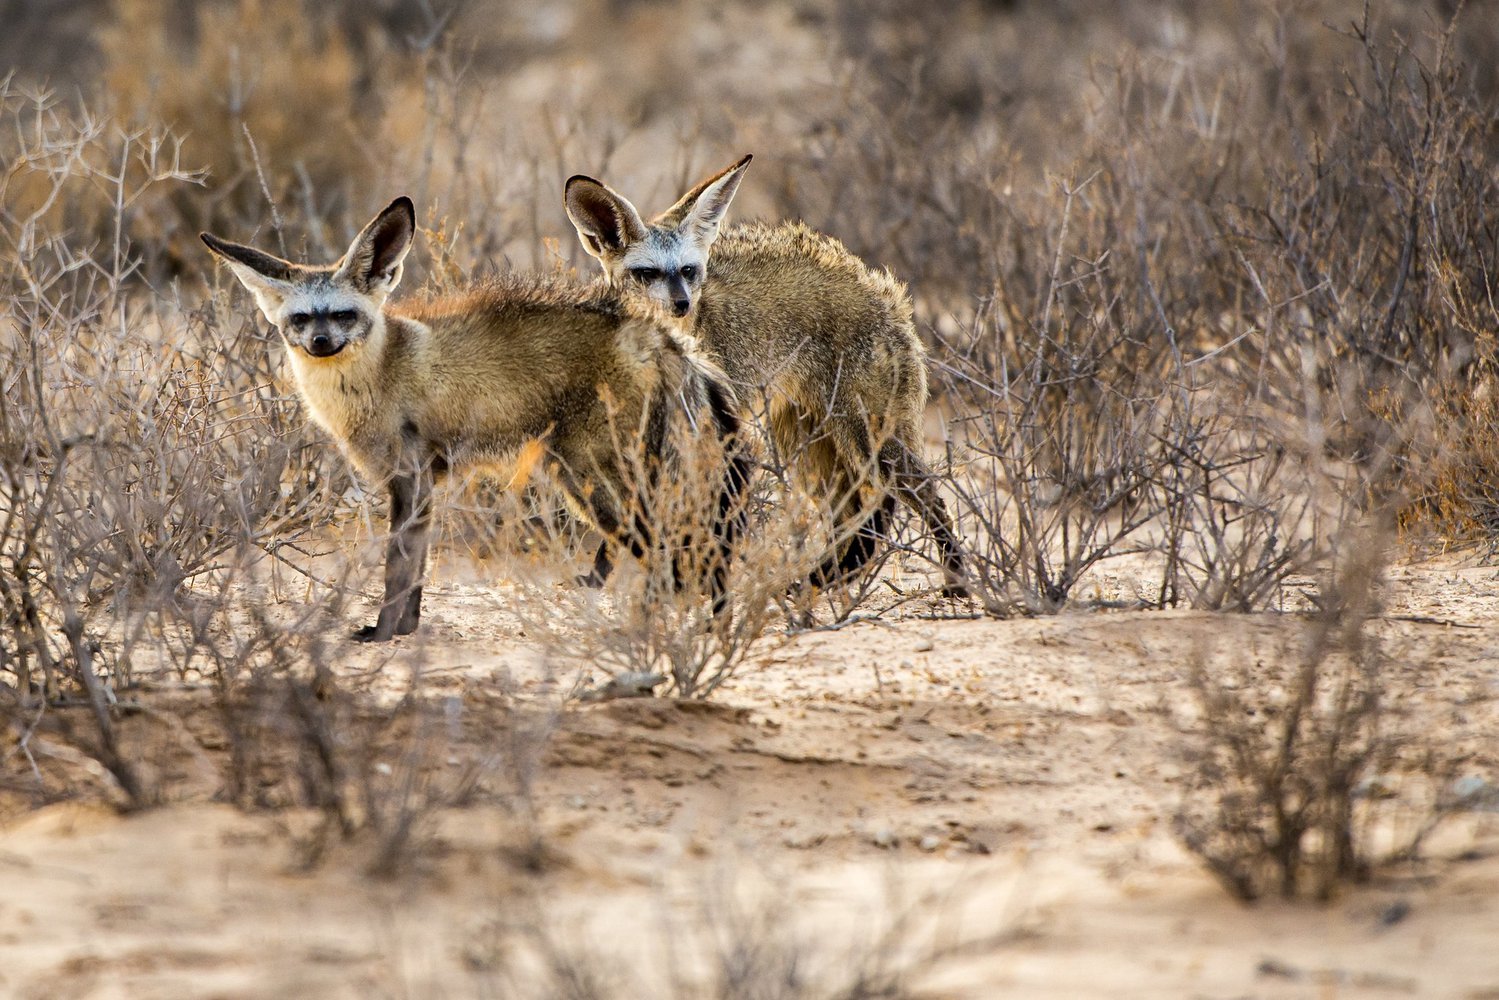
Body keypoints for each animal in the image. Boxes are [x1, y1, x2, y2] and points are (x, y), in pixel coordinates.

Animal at [202, 197, 749, 641]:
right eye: (300, 319)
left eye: (342, 315)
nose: (320, 343)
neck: (378, 375)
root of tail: (664, 335)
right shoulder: (420, 487)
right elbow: (416, 576)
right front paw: (406, 632)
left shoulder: (411, 479)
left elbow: (397, 572)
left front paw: (381, 634)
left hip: (599, 484)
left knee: (673, 553)